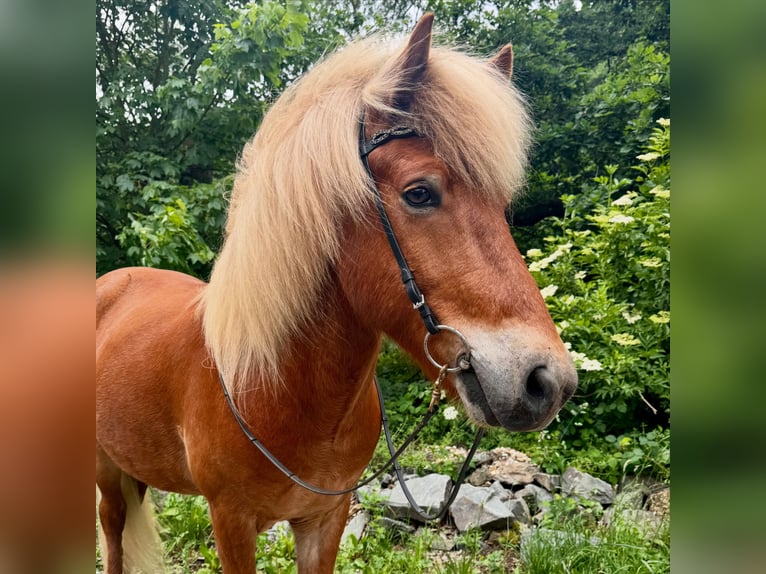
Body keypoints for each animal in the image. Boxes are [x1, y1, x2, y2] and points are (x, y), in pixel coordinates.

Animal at [96, 14, 577, 574]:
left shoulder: (325, 520)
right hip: (106, 474)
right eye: (419, 193)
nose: (547, 381)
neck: (276, 383)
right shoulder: (230, 521)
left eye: (501, 206)